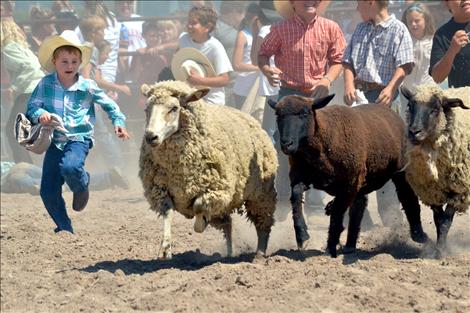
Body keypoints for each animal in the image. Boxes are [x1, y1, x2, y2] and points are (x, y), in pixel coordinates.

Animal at [140, 80, 280, 258]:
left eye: (174, 108)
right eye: (147, 109)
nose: (151, 137)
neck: (180, 170)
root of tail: (245, 114)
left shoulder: (215, 191)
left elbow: (198, 208)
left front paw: (200, 224)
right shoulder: (160, 191)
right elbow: (168, 214)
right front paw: (165, 249)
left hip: (260, 195)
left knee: (263, 224)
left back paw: (260, 254)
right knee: (228, 224)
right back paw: (229, 252)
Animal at [268, 94, 430, 256]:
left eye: (304, 114)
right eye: (278, 115)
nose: (286, 144)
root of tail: (391, 112)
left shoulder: (349, 183)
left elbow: (337, 213)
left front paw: (331, 246)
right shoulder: (300, 175)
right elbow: (296, 198)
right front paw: (302, 236)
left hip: (399, 171)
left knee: (407, 198)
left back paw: (419, 235)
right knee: (358, 206)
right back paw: (350, 245)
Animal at [400, 85, 470, 254]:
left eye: (435, 109)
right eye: (410, 106)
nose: (414, 132)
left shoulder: (458, 190)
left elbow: (446, 222)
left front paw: (440, 251)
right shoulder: (431, 191)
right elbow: (438, 220)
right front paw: (439, 246)